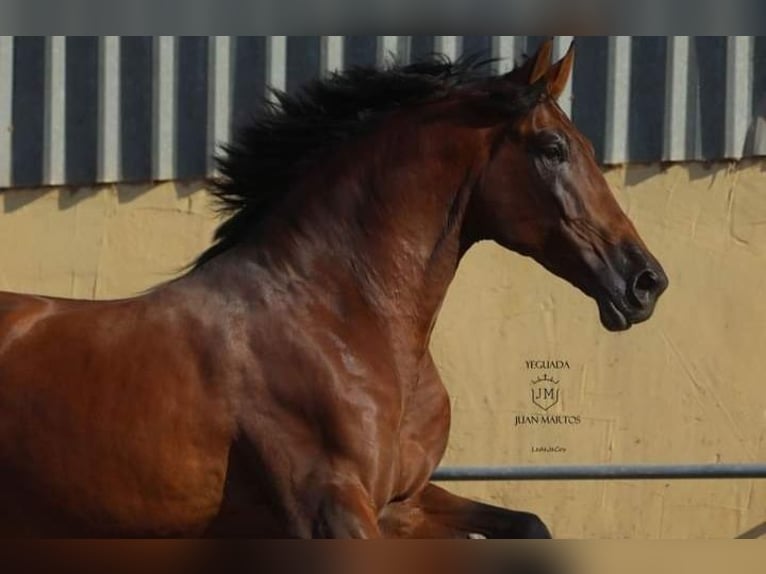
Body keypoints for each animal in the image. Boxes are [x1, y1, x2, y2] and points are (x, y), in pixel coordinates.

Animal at [0, 41, 668, 540]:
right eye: (553, 148)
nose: (646, 281)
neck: (343, 318)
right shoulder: (334, 512)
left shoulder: (402, 501)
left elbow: (530, 524)